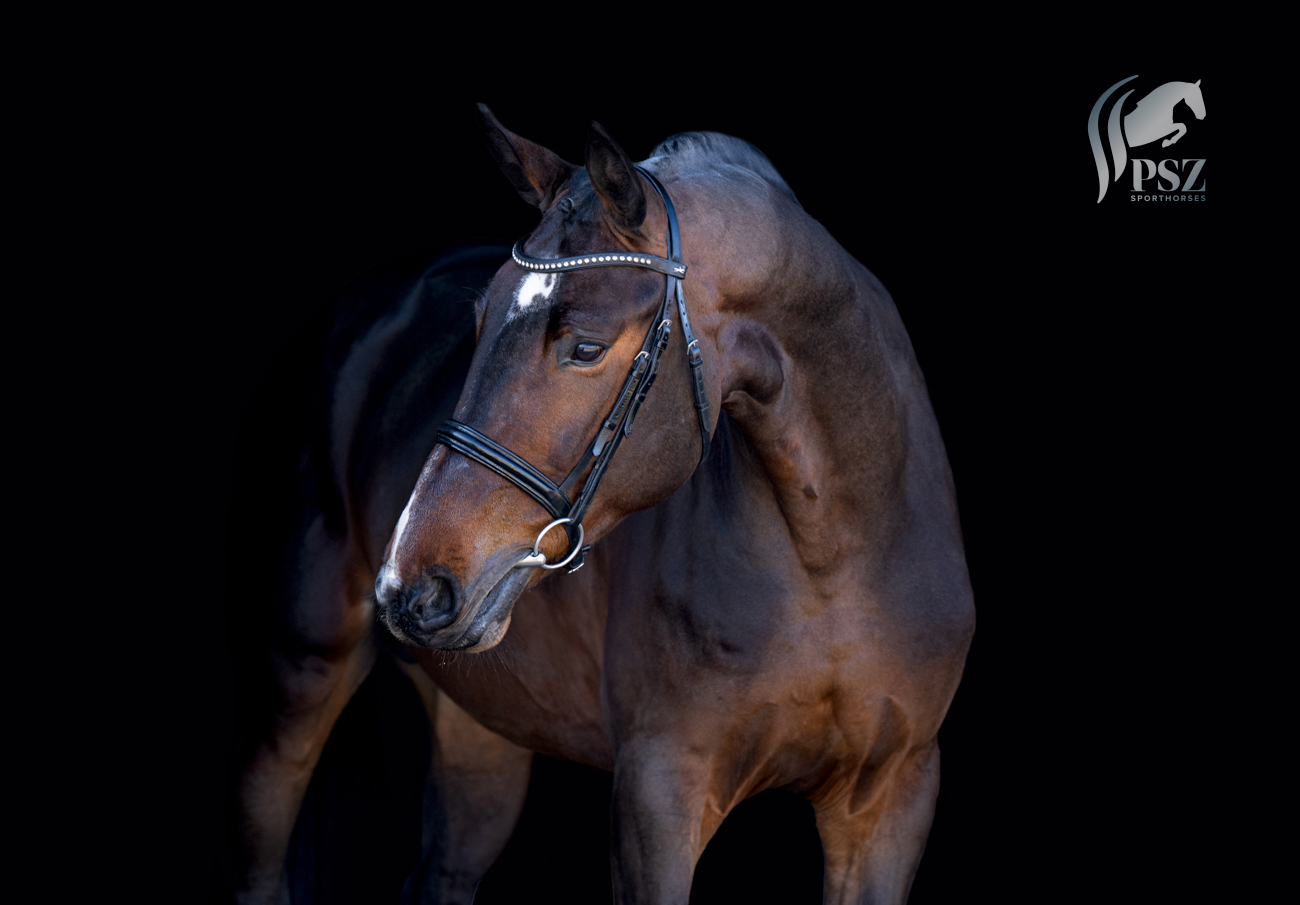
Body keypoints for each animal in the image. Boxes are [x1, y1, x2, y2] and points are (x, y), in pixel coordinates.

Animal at [374, 106, 975, 904]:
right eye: (477, 324)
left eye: (587, 346)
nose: (409, 586)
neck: (834, 559)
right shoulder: (658, 796)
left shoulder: (892, 797)